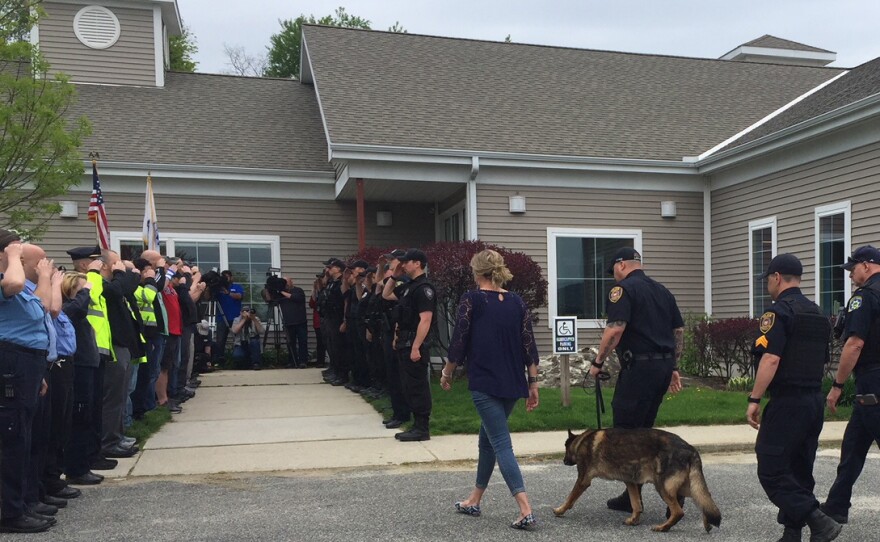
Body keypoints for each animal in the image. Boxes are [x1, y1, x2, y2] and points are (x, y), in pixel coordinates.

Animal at [556, 432, 720, 532]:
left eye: (565, 448)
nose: (563, 461)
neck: (581, 441)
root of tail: (691, 449)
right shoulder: (631, 483)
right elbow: (636, 504)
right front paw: (634, 520)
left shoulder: (583, 481)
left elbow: (570, 497)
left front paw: (560, 510)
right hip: (684, 487)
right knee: (704, 499)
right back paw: (707, 522)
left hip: (662, 487)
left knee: (679, 511)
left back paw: (663, 527)